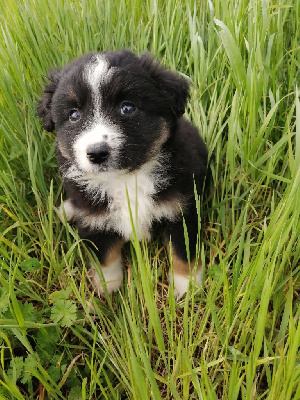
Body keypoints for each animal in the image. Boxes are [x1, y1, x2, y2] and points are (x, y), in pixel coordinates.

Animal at [37, 50, 207, 298]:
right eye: (74, 115)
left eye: (127, 108)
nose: (97, 153)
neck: (125, 179)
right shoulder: (94, 219)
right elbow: (104, 256)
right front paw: (107, 286)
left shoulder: (181, 211)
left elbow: (182, 252)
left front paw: (186, 285)